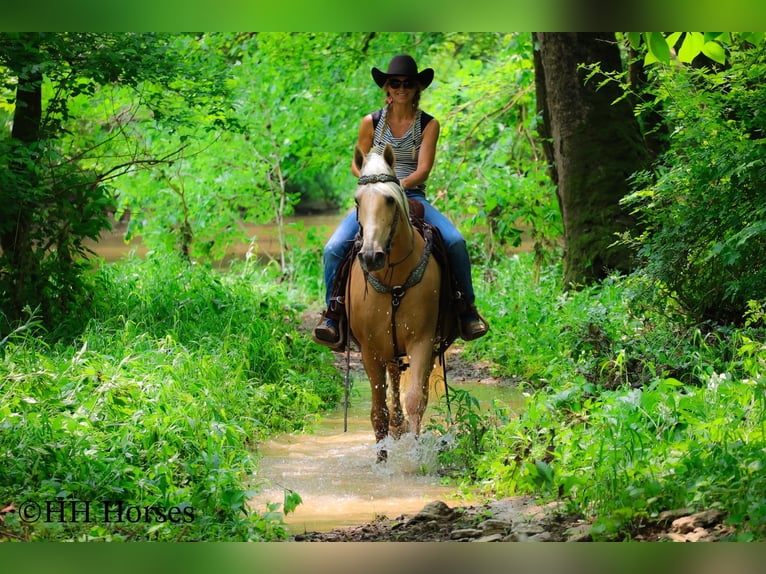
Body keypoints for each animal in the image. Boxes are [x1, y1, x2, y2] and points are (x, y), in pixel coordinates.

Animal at [346, 144, 444, 461]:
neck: (394, 279)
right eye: (357, 201)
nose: (371, 255)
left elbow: (416, 400)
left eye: (389, 199)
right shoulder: (369, 349)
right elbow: (378, 411)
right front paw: (381, 460)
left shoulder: (422, 340)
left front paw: (413, 458)